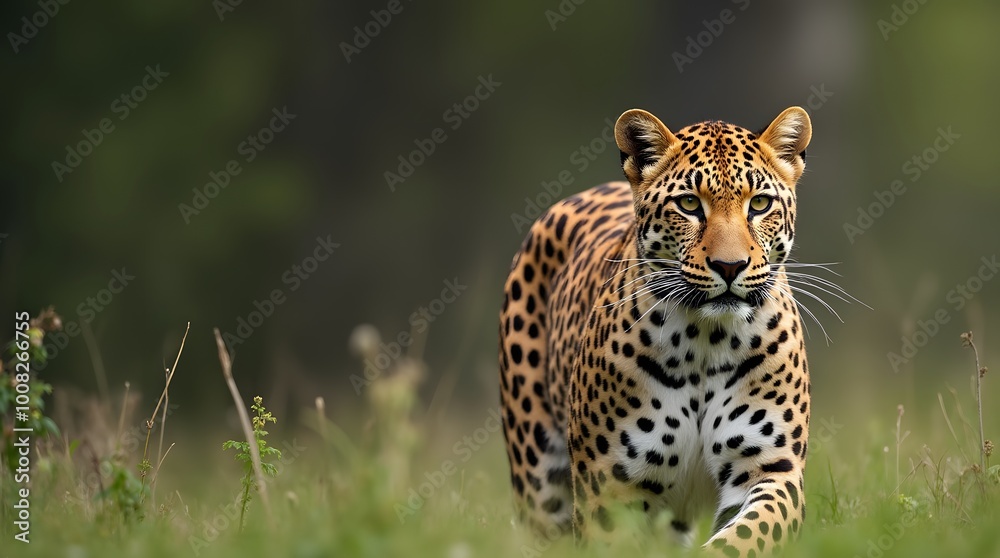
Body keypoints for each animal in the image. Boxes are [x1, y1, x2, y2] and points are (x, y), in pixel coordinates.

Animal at [498, 106, 814, 556]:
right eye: (689, 204)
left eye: (759, 204)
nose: (730, 266)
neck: (707, 339)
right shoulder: (608, 490)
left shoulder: (771, 469)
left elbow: (742, 538)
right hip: (539, 483)